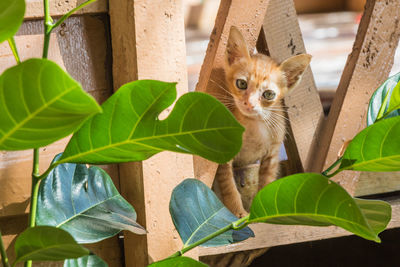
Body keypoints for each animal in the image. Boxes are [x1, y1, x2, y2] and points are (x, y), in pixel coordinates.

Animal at [214, 27, 310, 219]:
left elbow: (266, 183)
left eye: (268, 94)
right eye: (241, 84)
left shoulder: (272, 155)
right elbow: (229, 186)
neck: (252, 125)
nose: (249, 104)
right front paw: (238, 212)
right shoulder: (224, 155)